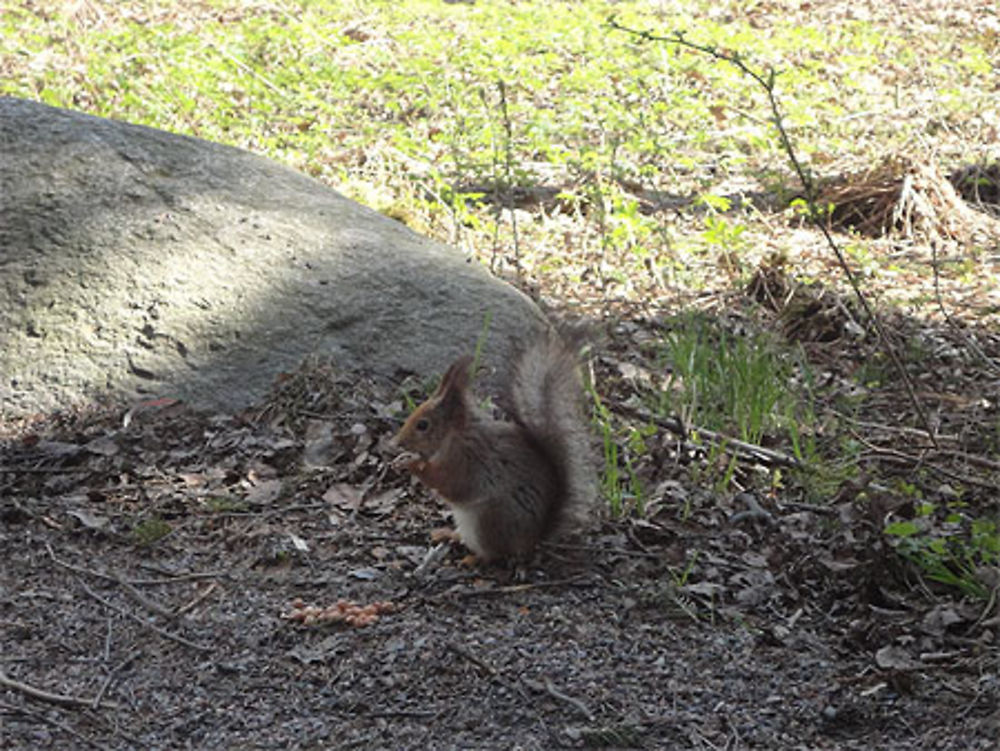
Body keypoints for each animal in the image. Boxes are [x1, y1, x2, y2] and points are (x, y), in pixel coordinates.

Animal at [390, 336, 592, 564]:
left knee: (494, 554)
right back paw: (447, 534)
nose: (397, 442)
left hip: (490, 521)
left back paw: (472, 559)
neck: (454, 436)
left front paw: (411, 463)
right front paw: (403, 458)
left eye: (423, 425)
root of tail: (533, 539)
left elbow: (446, 482)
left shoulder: (464, 460)